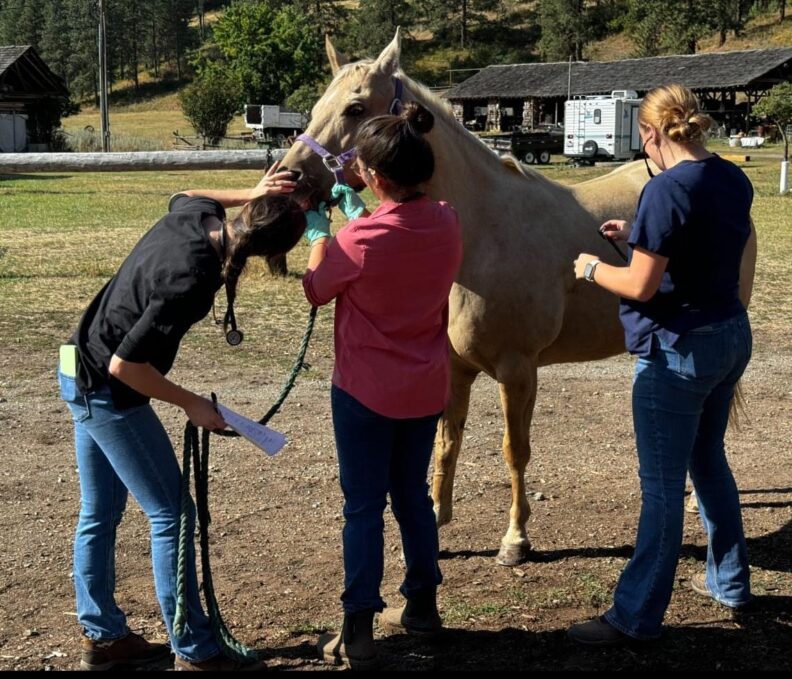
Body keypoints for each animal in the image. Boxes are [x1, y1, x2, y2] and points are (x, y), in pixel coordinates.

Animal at [279, 30, 757, 566]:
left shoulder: (517, 370)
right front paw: (436, 522)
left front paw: (515, 539)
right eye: (317, 107)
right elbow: (447, 442)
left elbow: (515, 451)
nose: (287, 178)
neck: (481, 234)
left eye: (356, 108)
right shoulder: (455, 369)